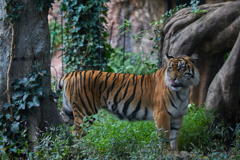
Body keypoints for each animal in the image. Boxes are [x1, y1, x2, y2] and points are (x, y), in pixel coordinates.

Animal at [58, 53, 201, 154]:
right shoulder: (162, 114)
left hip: (69, 111)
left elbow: (174, 137)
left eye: (181, 68)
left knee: (61, 130)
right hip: (85, 113)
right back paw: (79, 152)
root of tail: (69, 74)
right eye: (170, 69)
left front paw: (177, 153)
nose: (172, 79)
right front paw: (168, 154)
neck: (182, 90)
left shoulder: (177, 116)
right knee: (76, 134)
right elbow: (165, 136)